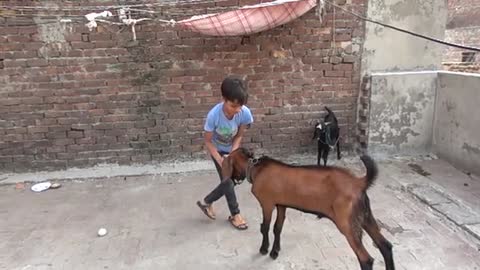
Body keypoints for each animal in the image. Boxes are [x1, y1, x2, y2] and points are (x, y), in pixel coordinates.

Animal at [221, 149, 394, 268]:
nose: (231, 180)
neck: (256, 168)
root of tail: (358, 183)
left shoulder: (267, 204)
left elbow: (265, 227)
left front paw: (264, 249)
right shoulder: (281, 204)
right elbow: (278, 228)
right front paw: (275, 251)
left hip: (347, 222)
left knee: (365, 259)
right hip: (365, 216)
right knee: (385, 246)